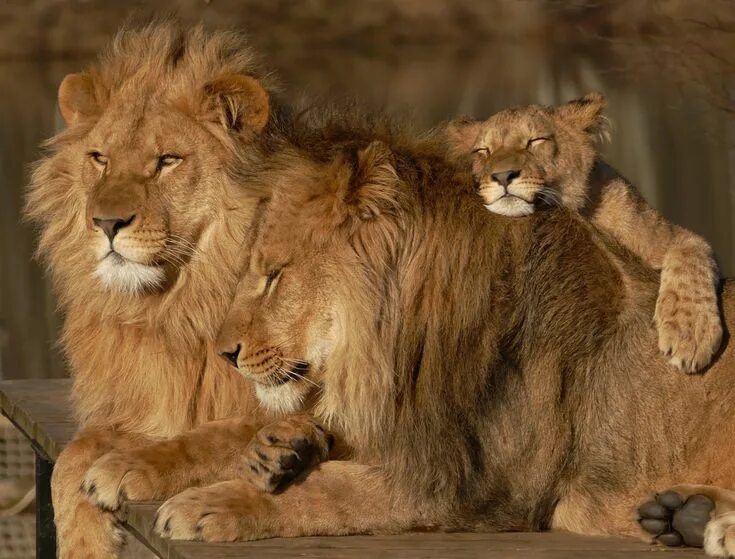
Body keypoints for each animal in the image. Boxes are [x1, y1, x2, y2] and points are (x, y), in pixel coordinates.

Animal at [25, 23, 330, 559]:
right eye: (99, 159)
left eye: (167, 161)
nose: (105, 222)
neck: (178, 306)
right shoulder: (139, 404)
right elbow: (72, 457)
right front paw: (86, 542)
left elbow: (215, 436)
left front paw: (134, 466)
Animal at [150, 115, 735, 556]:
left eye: (274, 275)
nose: (225, 354)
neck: (402, 343)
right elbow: (241, 435)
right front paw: (267, 450)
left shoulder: (471, 487)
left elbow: (333, 491)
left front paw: (205, 505)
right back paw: (683, 514)